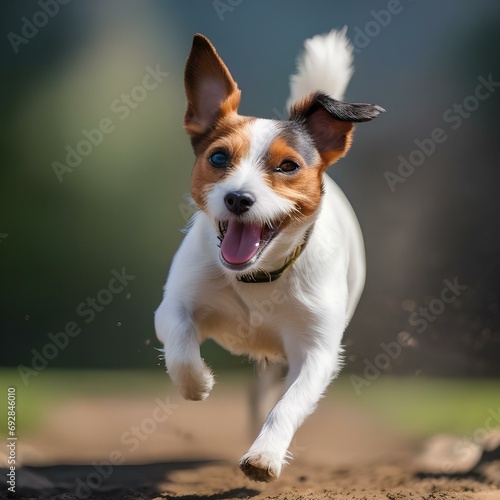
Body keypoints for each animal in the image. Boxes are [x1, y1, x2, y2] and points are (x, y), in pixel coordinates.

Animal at [154, 28, 384, 480]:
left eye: (287, 166)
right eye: (218, 157)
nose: (238, 198)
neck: (257, 277)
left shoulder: (316, 352)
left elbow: (288, 405)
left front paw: (265, 454)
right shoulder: (175, 305)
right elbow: (181, 342)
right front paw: (198, 382)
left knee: (271, 397)